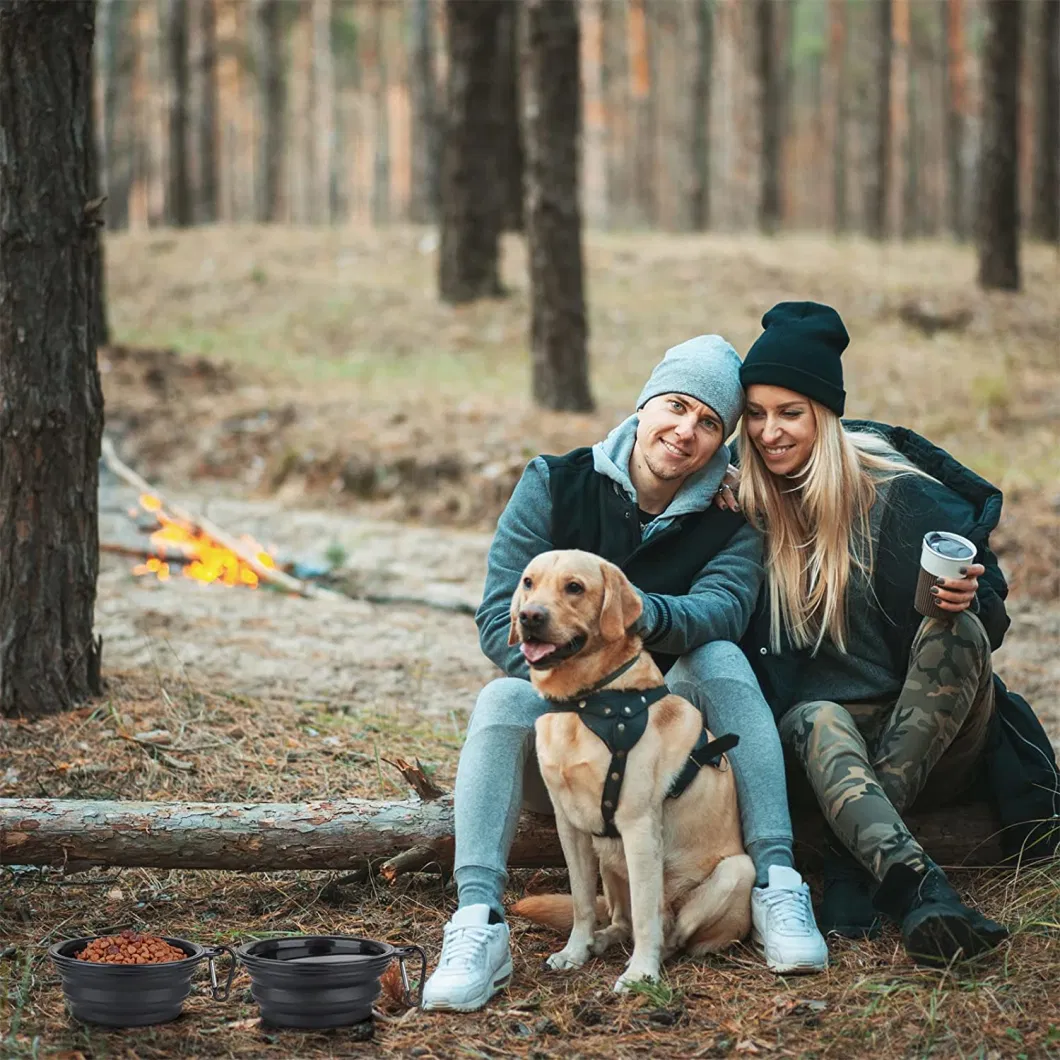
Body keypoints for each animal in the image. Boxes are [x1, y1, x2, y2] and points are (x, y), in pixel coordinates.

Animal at [506, 551, 750, 987]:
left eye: (574, 587)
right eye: (528, 583)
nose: (529, 616)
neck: (587, 703)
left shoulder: (638, 826)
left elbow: (646, 916)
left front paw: (640, 972)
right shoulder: (570, 826)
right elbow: (583, 902)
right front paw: (574, 950)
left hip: (737, 871)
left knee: (672, 929)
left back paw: (653, 958)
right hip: (608, 857)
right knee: (621, 918)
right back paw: (600, 940)